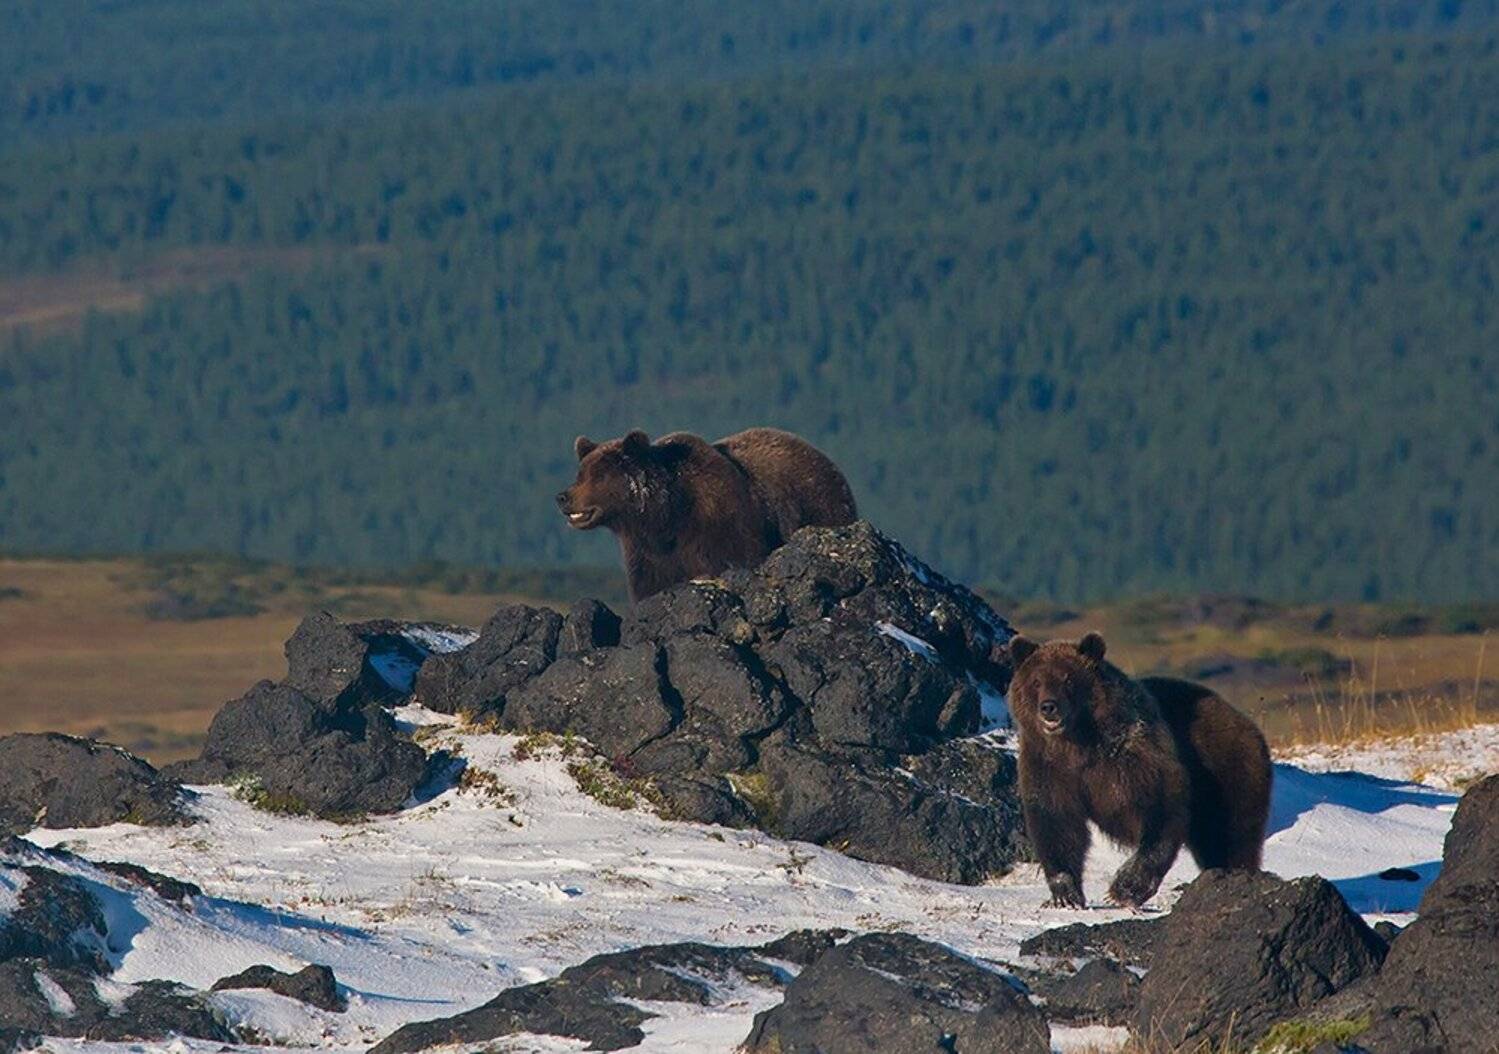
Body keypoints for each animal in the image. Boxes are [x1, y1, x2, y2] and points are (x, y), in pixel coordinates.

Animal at [556, 427, 857, 603]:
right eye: (580, 474)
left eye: (599, 475)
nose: (563, 497)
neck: (667, 518)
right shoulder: (646, 552)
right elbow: (649, 587)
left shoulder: (722, 524)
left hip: (821, 508)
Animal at [1007, 631, 1272, 908]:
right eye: (1036, 681)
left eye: (1068, 679)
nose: (1049, 707)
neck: (1079, 743)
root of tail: (1241, 717)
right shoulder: (1049, 767)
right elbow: (1056, 822)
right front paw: (1065, 894)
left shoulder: (1135, 755)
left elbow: (1162, 805)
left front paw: (1124, 887)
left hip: (1228, 770)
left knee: (1231, 832)